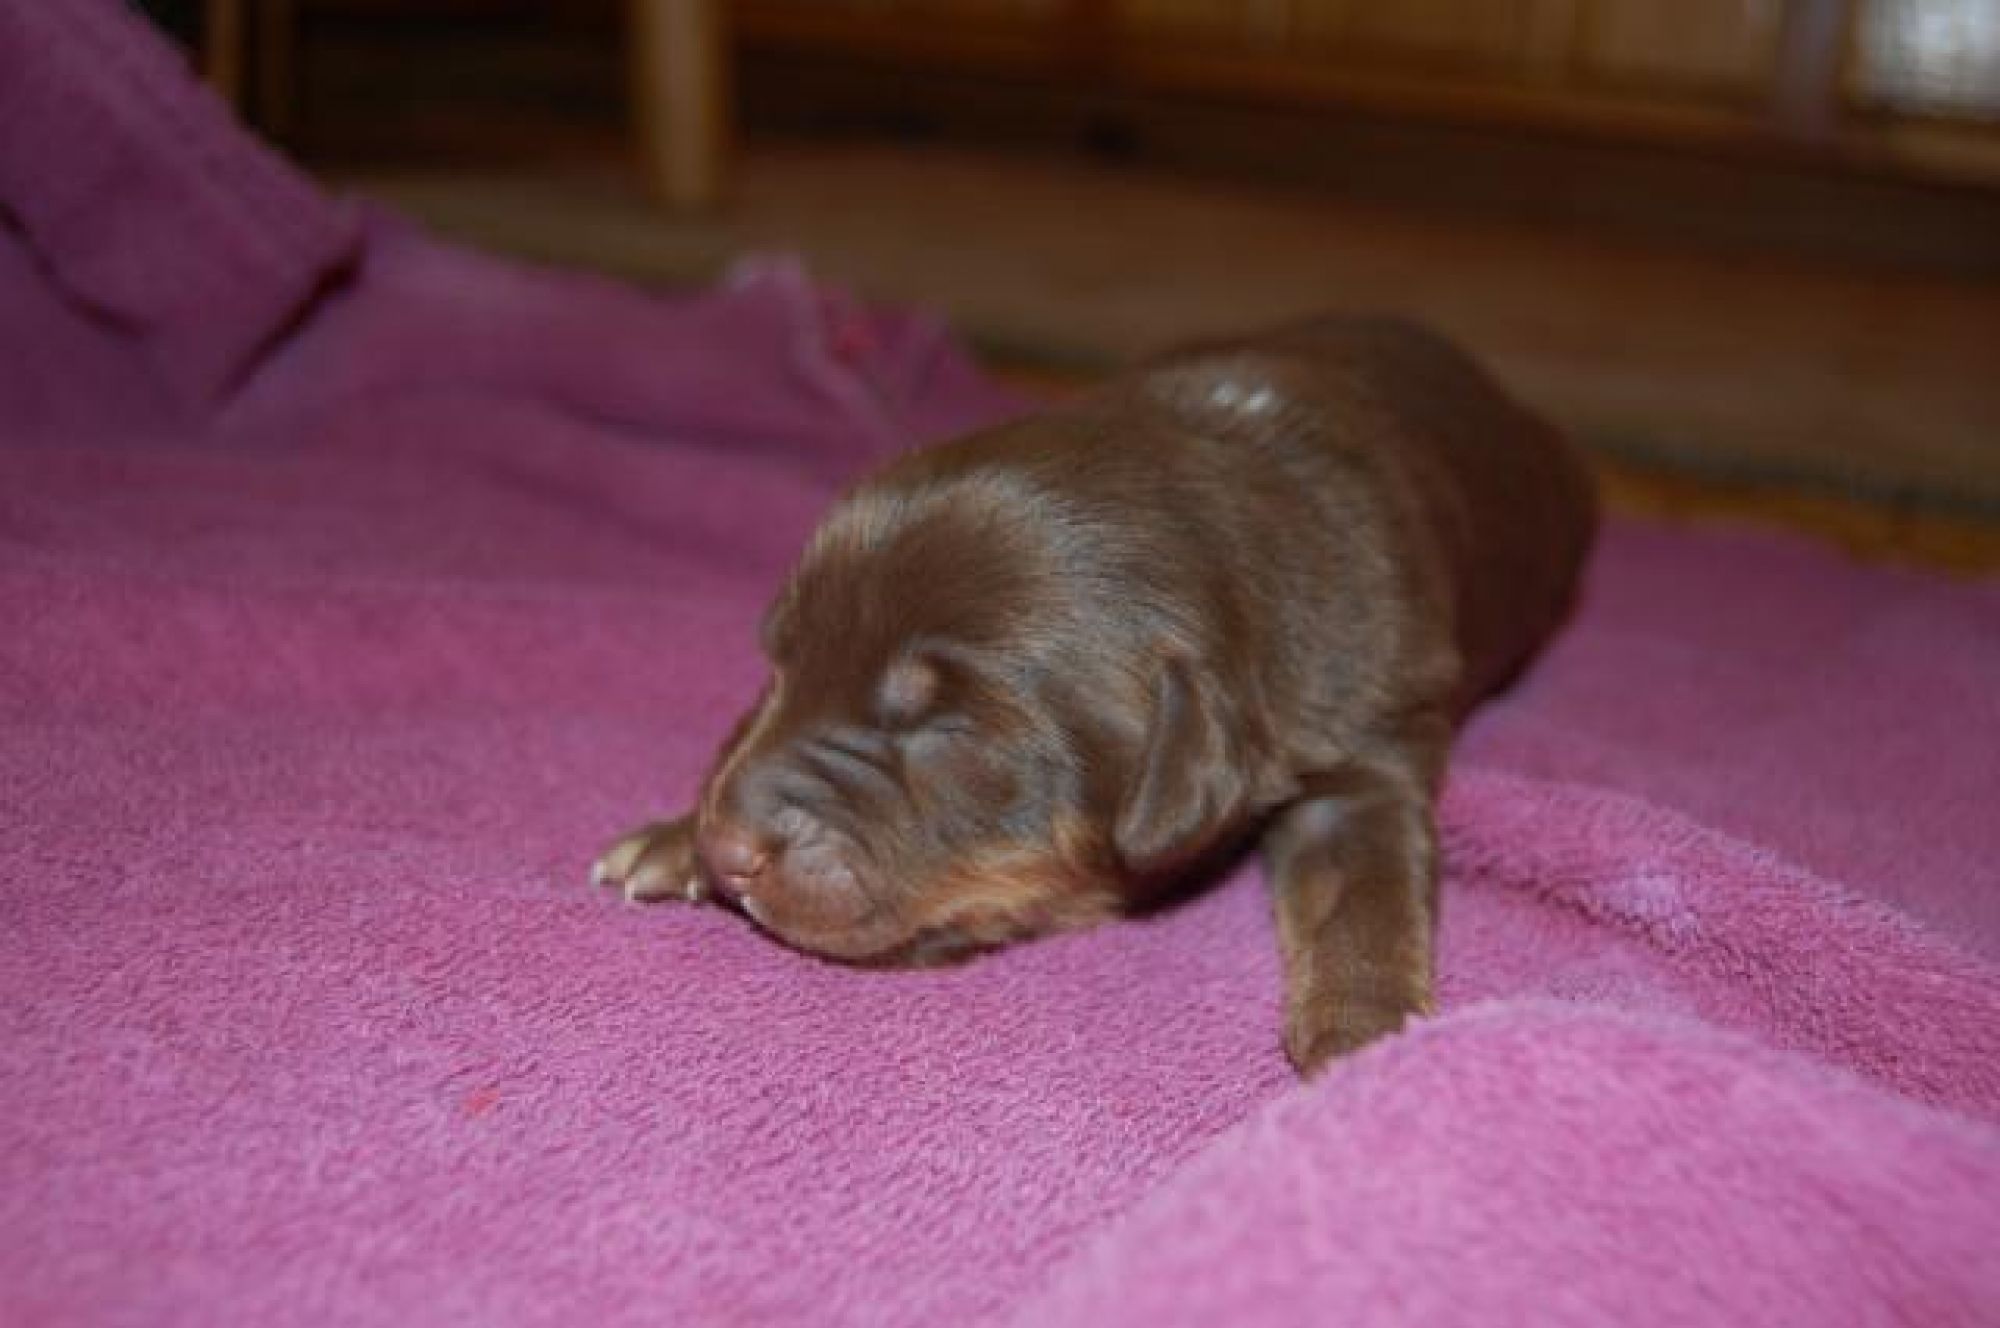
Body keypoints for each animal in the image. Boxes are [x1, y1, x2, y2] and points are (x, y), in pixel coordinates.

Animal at [593, 317, 1596, 1074]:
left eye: (951, 735)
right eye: (781, 665)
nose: (728, 849)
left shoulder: (1371, 748)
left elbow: (1365, 897)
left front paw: (1369, 1036)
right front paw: (670, 839)